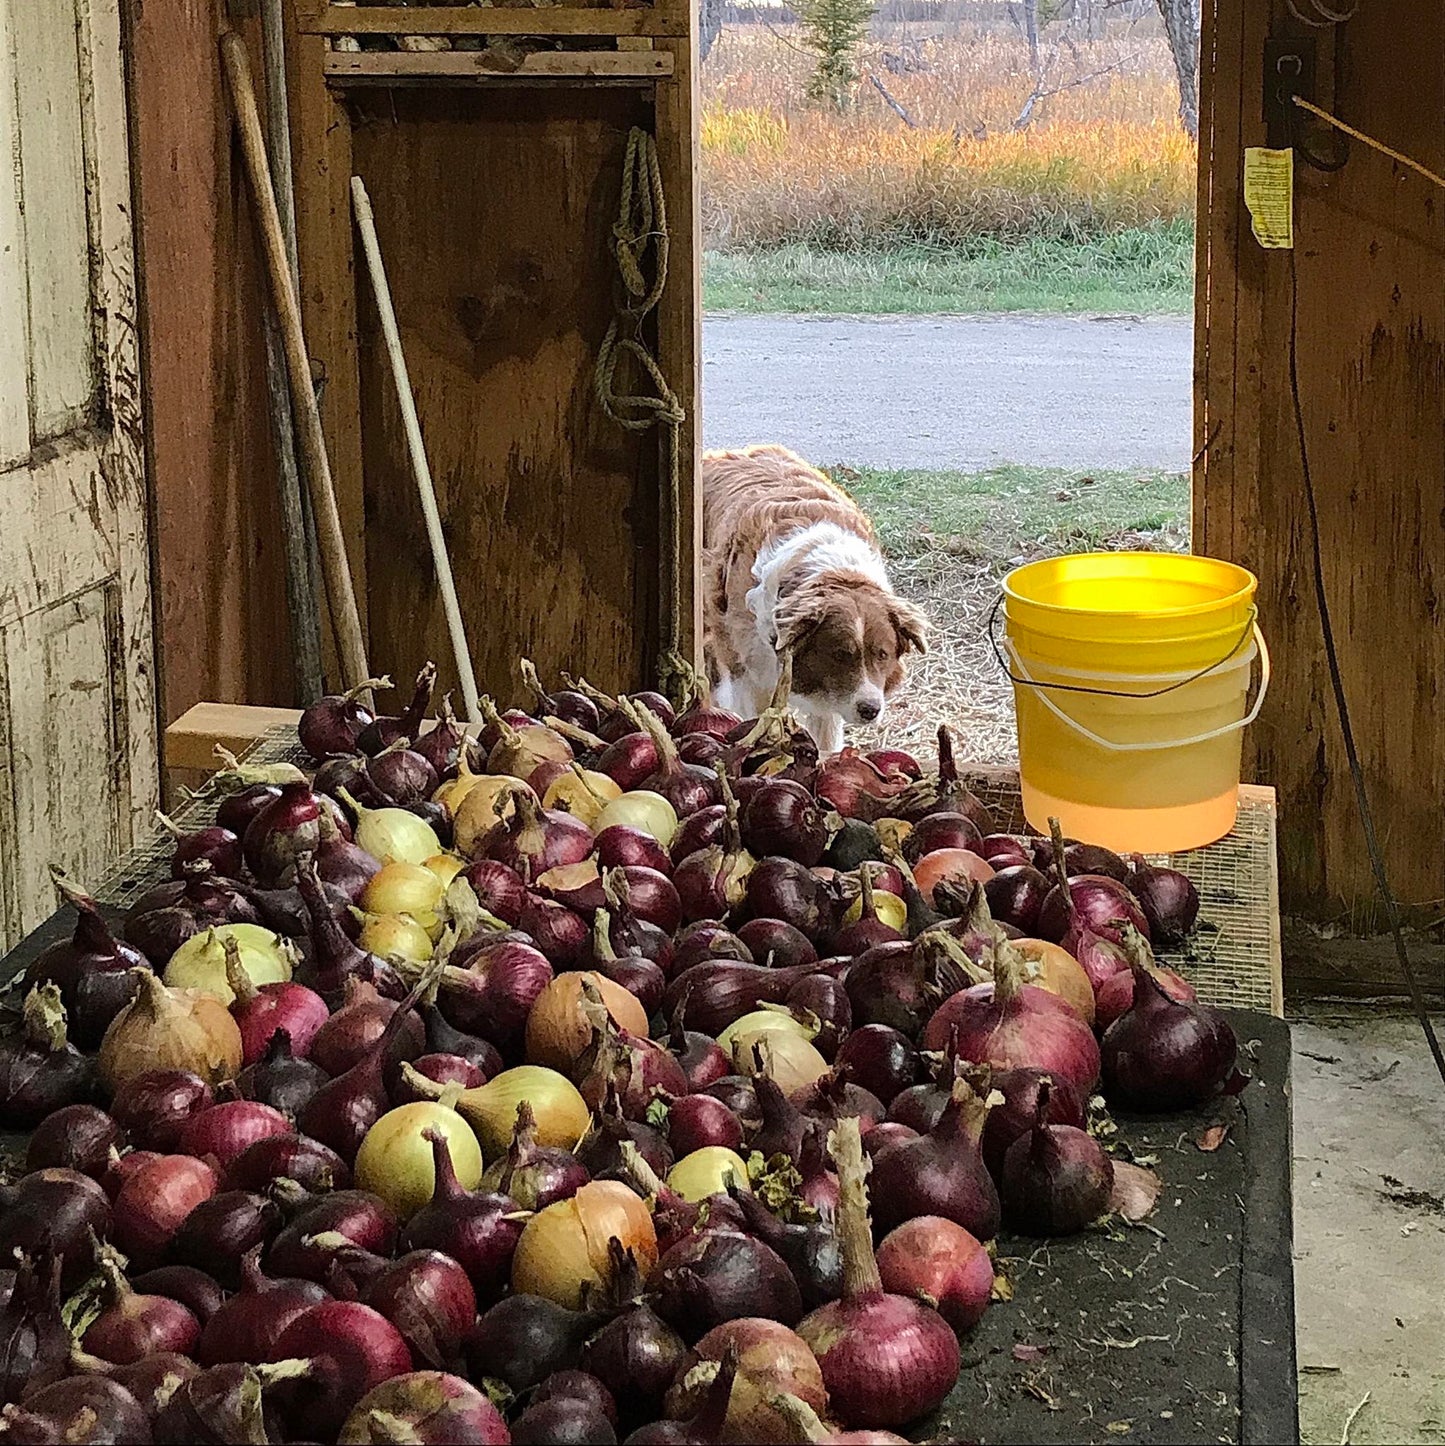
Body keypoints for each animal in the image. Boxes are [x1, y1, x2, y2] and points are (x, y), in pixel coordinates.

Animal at [700, 445, 925, 751]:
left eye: (883, 655)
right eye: (839, 655)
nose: (870, 710)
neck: (833, 571)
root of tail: (720, 453)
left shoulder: (828, 699)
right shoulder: (749, 676)